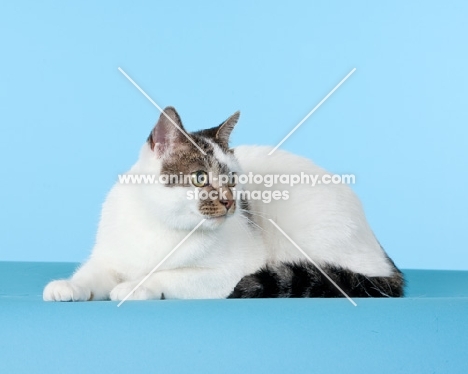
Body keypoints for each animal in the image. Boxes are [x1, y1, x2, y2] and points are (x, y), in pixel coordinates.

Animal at [42, 106, 404, 302]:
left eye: (232, 180)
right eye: (201, 178)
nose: (231, 203)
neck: (161, 224)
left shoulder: (231, 272)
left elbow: (169, 275)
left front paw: (135, 286)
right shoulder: (109, 259)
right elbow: (90, 275)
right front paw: (67, 286)